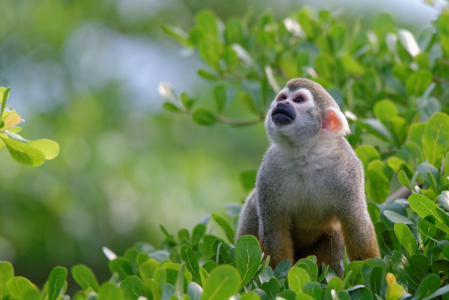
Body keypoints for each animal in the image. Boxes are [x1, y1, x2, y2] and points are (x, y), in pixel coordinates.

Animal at [236, 79, 380, 274]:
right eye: (282, 98)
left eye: (298, 100)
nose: (282, 104)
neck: (305, 155)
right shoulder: (268, 169)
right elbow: (274, 231)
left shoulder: (348, 169)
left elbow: (357, 226)